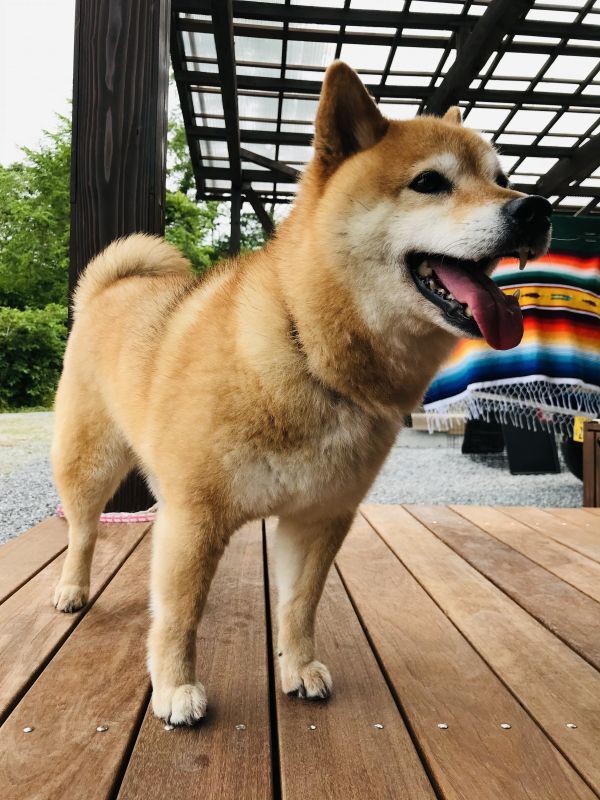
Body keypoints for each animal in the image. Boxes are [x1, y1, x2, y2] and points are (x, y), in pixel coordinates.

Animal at [54, 62, 552, 724]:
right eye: (430, 182)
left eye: (502, 179)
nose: (536, 210)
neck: (310, 353)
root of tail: (108, 289)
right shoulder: (195, 514)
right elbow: (181, 616)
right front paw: (176, 686)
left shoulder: (318, 517)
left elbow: (298, 605)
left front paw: (297, 667)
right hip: (91, 464)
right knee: (83, 533)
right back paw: (72, 588)